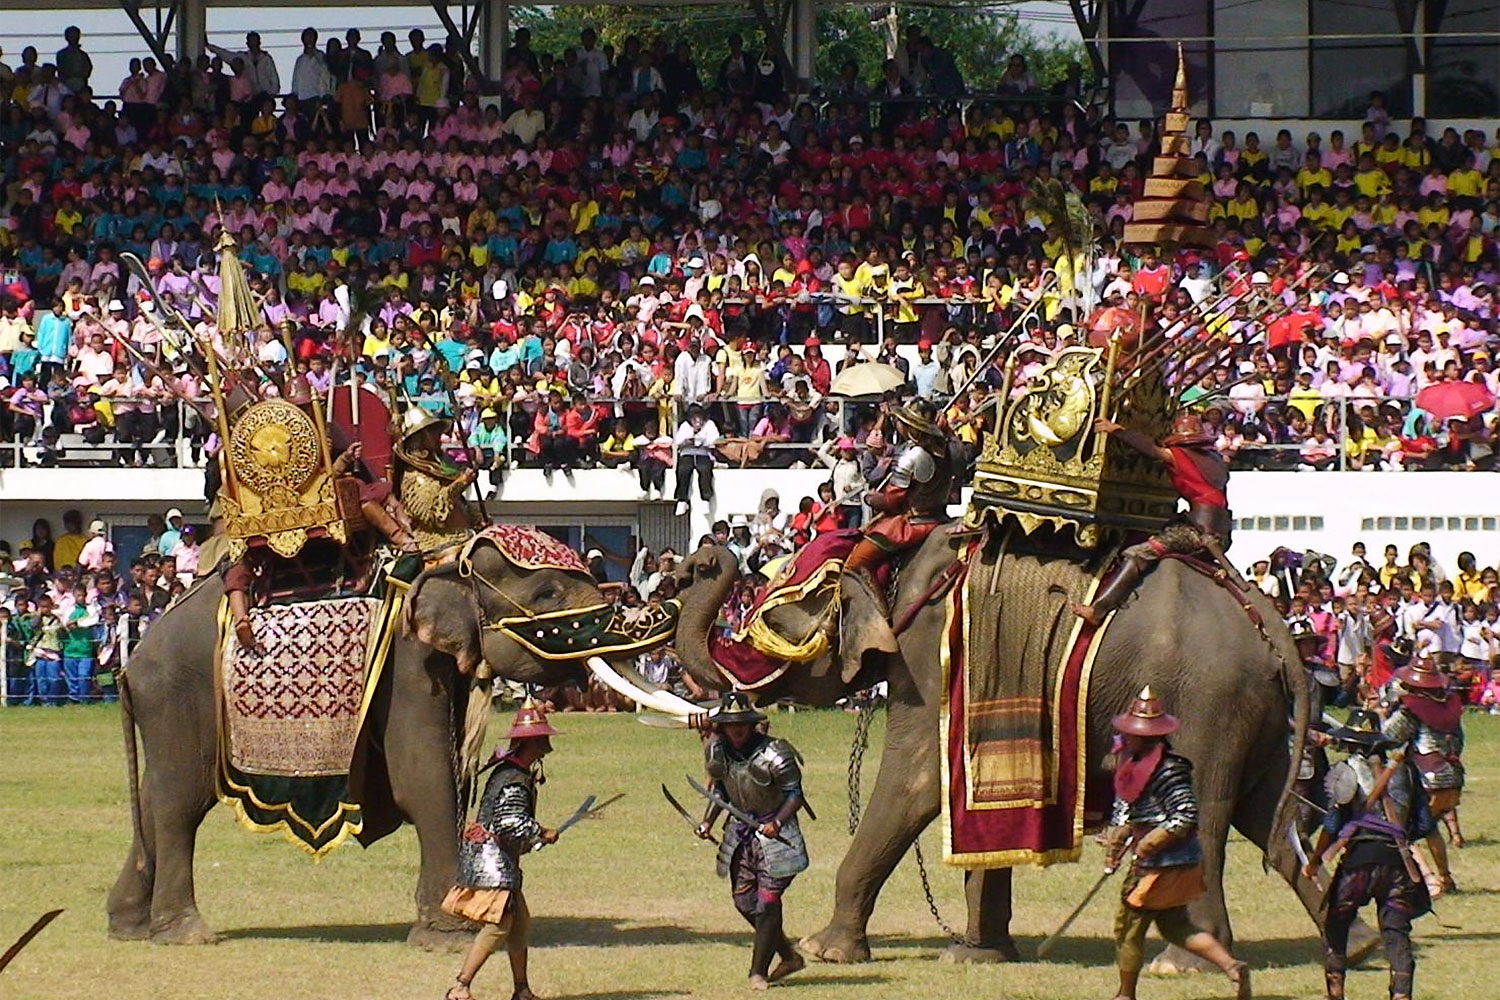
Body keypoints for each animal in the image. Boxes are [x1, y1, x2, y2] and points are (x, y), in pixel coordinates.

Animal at [107, 527, 687, 953]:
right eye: (547, 593)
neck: (448, 559)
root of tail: (133, 659)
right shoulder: (409, 661)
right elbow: (422, 777)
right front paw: (449, 938)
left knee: (155, 799)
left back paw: (130, 927)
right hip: (181, 693)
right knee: (180, 802)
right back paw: (186, 934)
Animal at [669, 527, 1380, 971]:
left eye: (773, 609)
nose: (700, 559)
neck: (901, 554)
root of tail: (1265, 614)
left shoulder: (929, 659)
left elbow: (916, 781)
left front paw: (826, 950)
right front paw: (976, 954)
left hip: (1209, 701)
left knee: (1205, 812)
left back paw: (1184, 963)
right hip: (1257, 713)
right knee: (1272, 821)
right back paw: (1355, 944)